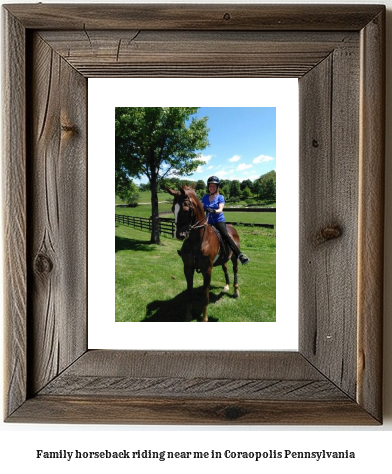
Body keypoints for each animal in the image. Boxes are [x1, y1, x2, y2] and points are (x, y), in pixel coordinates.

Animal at [165, 185, 239, 322]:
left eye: (185, 208)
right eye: (173, 208)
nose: (179, 235)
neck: (198, 240)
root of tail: (232, 227)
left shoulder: (207, 270)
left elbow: (205, 295)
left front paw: (204, 318)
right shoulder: (188, 268)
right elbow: (189, 293)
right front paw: (188, 316)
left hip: (235, 258)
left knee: (235, 270)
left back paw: (236, 291)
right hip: (224, 259)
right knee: (225, 269)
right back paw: (226, 286)